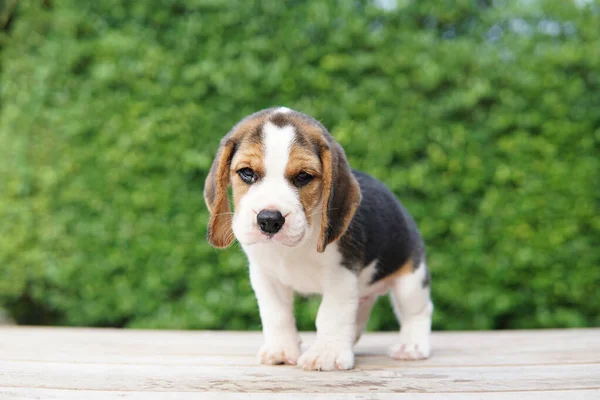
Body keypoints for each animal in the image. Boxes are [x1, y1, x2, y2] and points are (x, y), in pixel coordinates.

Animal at [204, 107, 434, 372]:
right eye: (247, 173)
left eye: (303, 176)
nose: (269, 220)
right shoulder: (265, 277)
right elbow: (277, 315)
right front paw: (281, 350)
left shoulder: (341, 276)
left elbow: (330, 315)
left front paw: (327, 354)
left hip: (411, 280)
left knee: (418, 311)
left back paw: (412, 346)